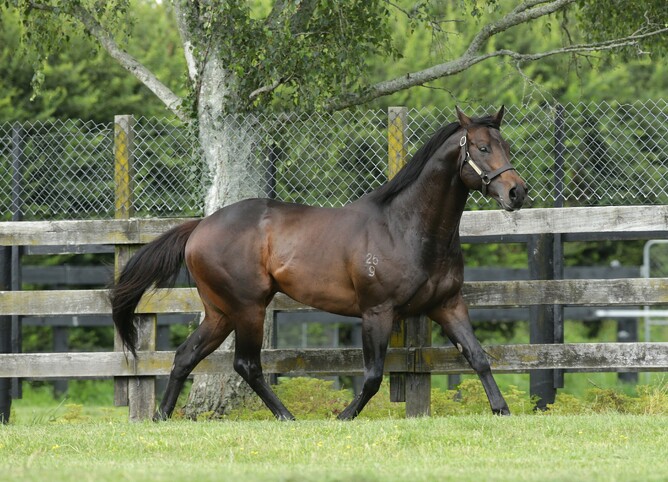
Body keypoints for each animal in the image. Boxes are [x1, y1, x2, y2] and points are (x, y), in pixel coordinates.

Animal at [110, 106, 527, 421]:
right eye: (482, 147)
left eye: (506, 145)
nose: (516, 191)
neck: (405, 227)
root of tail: (200, 226)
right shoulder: (377, 311)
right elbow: (373, 375)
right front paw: (344, 416)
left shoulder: (448, 305)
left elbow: (478, 357)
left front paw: (502, 410)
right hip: (248, 309)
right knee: (247, 365)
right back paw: (287, 417)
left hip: (220, 313)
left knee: (185, 356)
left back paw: (161, 417)